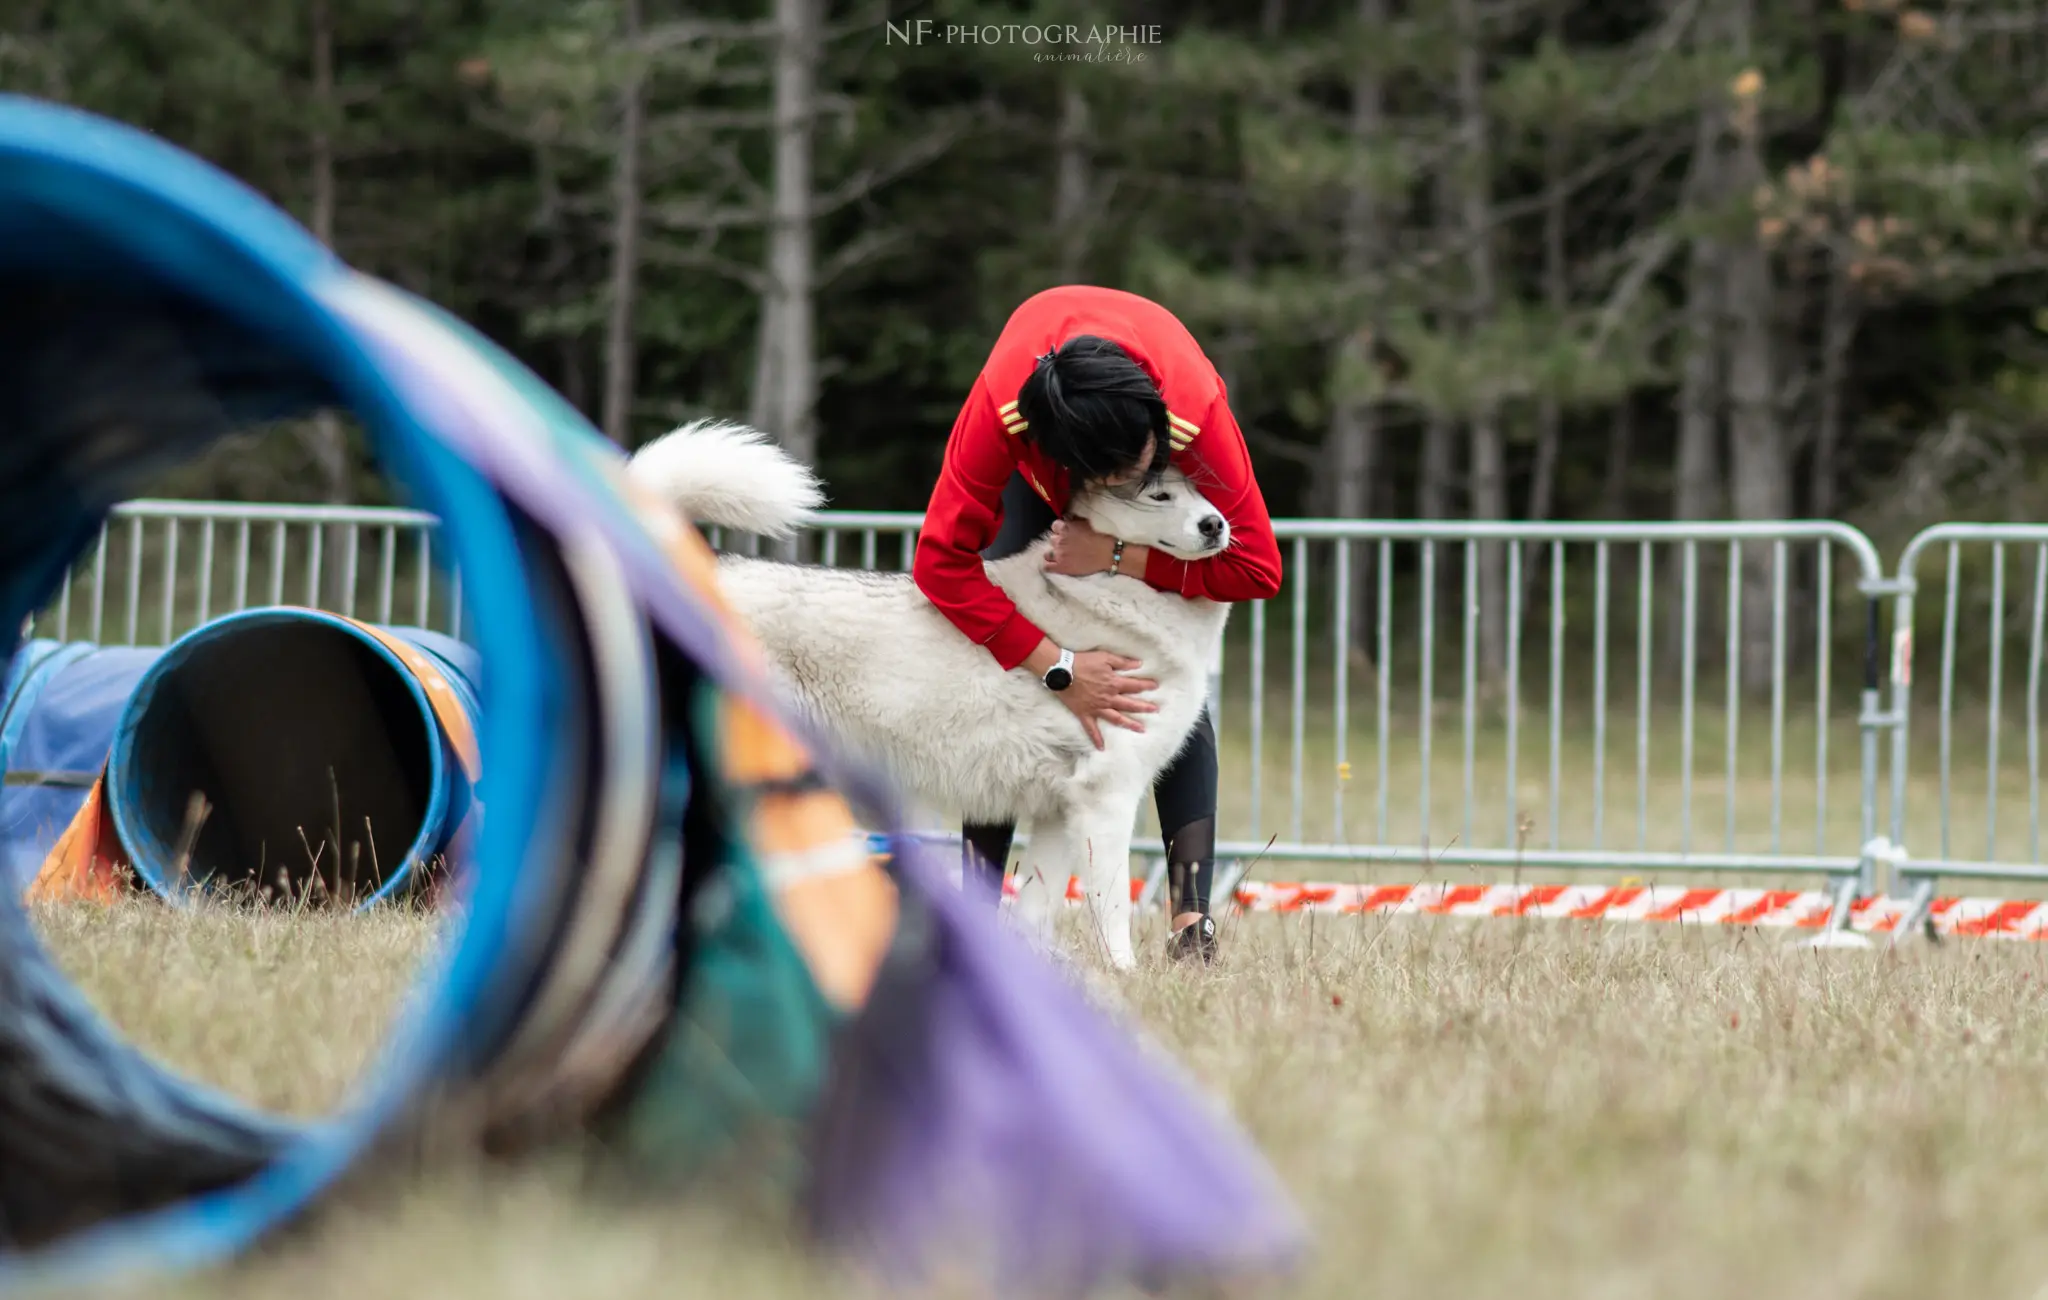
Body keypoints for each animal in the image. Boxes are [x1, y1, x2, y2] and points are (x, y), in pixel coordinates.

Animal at [626, 421, 1228, 970]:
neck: (1113, 590)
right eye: (1159, 495)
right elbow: (1111, 904)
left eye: (1206, 493)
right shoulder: (1109, 796)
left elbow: (1037, 906)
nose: (1217, 523)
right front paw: (1123, 975)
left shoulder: (1061, 809)